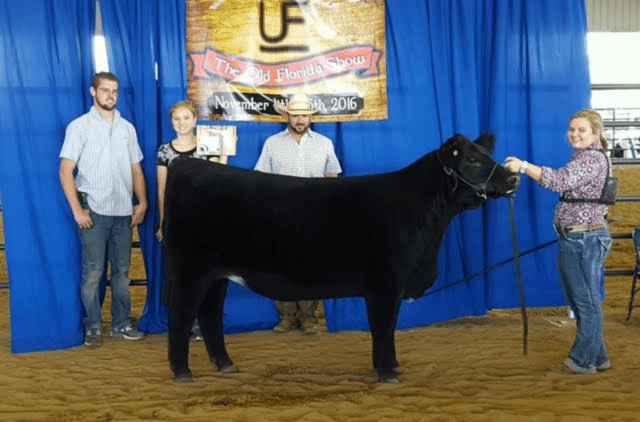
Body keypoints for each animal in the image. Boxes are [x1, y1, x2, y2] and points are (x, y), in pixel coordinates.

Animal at [162, 132, 520, 383]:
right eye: (471, 160)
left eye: (487, 155)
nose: (513, 178)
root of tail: (188, 164)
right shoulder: (385, 285)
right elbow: (383, 329)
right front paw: (387, 373)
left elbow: (389, 328)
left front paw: (393, 368)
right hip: (190, 271)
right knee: (181, 315)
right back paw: (182, 373)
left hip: (217, 276)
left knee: (210, 315)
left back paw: (226, 365)